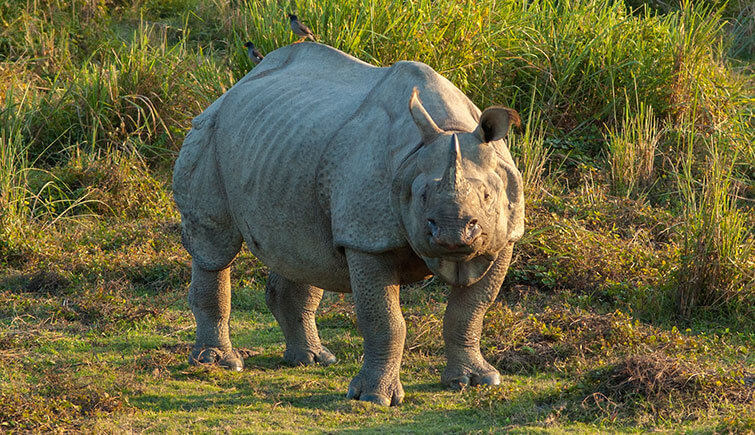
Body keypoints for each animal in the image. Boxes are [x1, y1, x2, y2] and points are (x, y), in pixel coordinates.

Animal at [173, 42, 524, 408]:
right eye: (422, 195)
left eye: (487, 195)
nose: (453, 233)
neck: (450, 128)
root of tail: (233, 88)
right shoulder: (365, 238)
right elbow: (384, 320)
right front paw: (374, 397)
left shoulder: (504, 238)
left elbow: (469, 311)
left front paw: (478, 380)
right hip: (209, 131)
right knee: (215, 249)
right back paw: (220, 363)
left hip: (284, 145)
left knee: (304, 251)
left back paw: (313, 360)